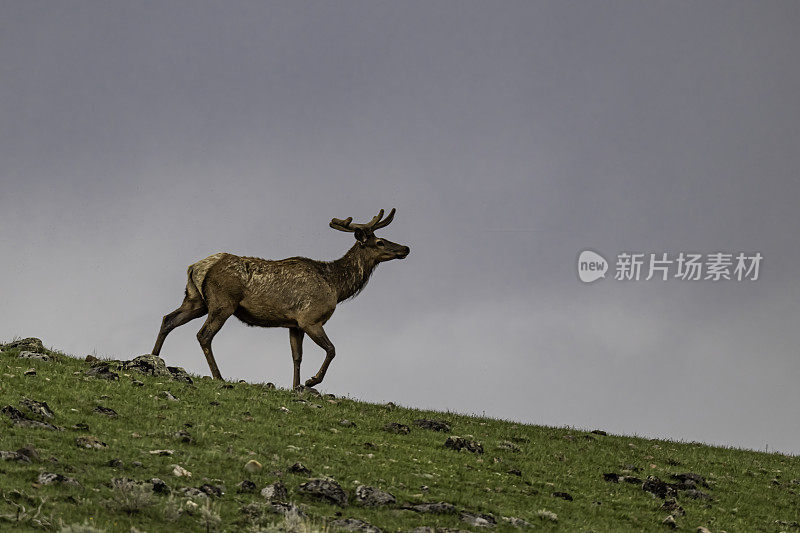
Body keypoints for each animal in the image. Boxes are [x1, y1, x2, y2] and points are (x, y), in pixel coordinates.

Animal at [152, 207, 410, 386]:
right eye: (380, 242)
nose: (406, 248)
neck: (336, 286)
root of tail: (196, 266)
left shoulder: (294, 324)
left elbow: (297, 357)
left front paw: (296, 387)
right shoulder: (310, 318)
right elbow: (332, 349)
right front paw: (312, 381)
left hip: (195, 300)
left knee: (168, 319)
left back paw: (153, 358)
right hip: (222, 302)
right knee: (203, 335)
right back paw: (218, 376)